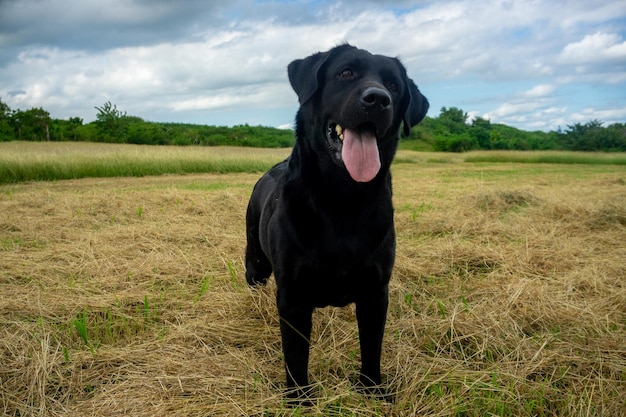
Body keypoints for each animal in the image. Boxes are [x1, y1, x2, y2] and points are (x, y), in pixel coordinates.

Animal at [246, 44, 426, 398]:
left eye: (394, 86)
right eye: (346, 73)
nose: (378, 98)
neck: (343, 199)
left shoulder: (375, 292)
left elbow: (372, 346)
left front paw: (372, 389)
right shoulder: (293, 297)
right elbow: (296, 355)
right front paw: (299, 398)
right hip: (255, 264)